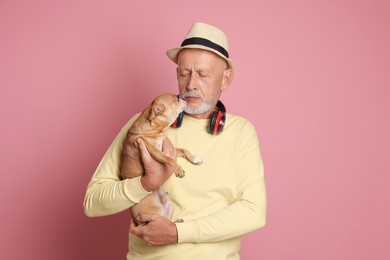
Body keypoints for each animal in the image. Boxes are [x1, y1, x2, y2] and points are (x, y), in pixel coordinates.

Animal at [120, 93, 203, 225]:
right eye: (177, 98)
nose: (183, 96)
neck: (155, 129)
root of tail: (137, 222)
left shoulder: (172, 150)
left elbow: (183, 150)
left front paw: (194, 158)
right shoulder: (155, 152)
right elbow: (169, 159)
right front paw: (178, 170)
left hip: (168, 205)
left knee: (167, 222)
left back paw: (178, 222)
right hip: (153, 213)